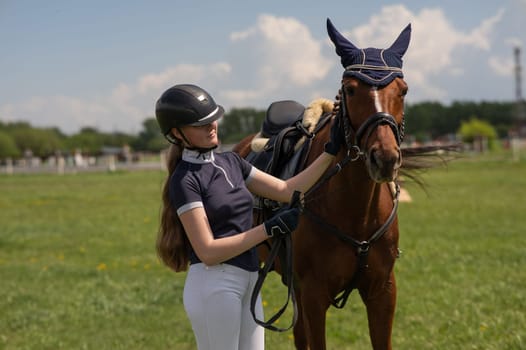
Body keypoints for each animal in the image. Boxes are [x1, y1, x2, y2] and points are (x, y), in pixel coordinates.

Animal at [235, 19, 416, 350]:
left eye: (403, 90)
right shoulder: (314, 295)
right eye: (351, 89)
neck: (357, 211)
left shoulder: (383, 291)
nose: (384, 158)